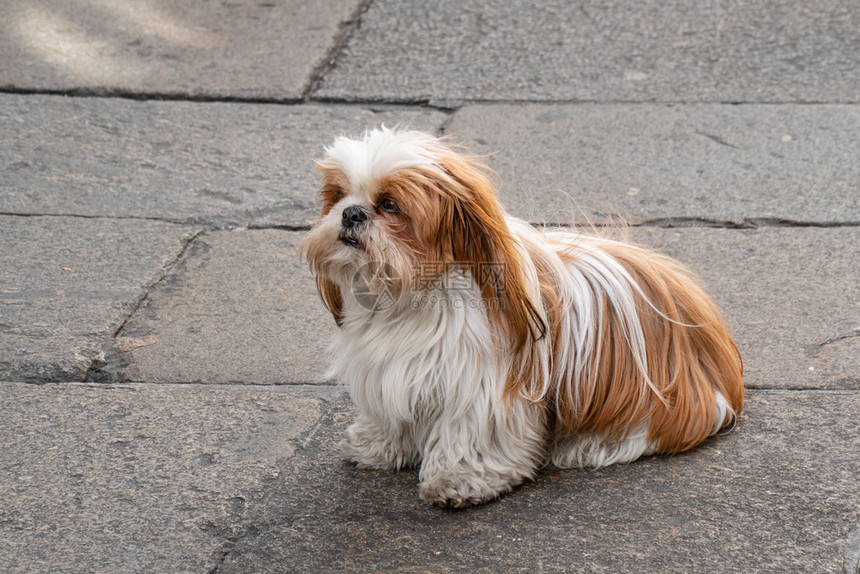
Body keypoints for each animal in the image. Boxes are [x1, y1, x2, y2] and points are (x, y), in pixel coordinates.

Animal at [298, 127, 744, 508]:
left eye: (389, 204)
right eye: (339, 194)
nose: (351, 213)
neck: (414, 291)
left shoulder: (482, 384)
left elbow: (473, 432)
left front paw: (458, 480)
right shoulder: (393, 370)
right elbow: (391, 414)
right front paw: (378, 445)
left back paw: (592, 444)